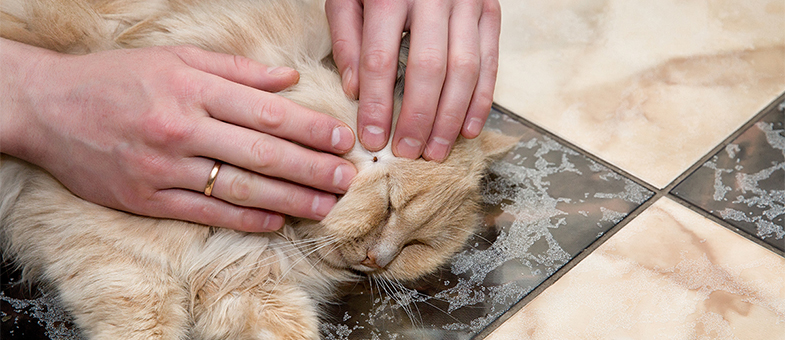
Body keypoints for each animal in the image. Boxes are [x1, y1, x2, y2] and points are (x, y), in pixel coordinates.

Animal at [0, 0, 516, 340]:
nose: (377, 261)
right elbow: (146, 325)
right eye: (391, 206)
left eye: (416, 246)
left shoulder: (249, 288)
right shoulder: (105, 248)